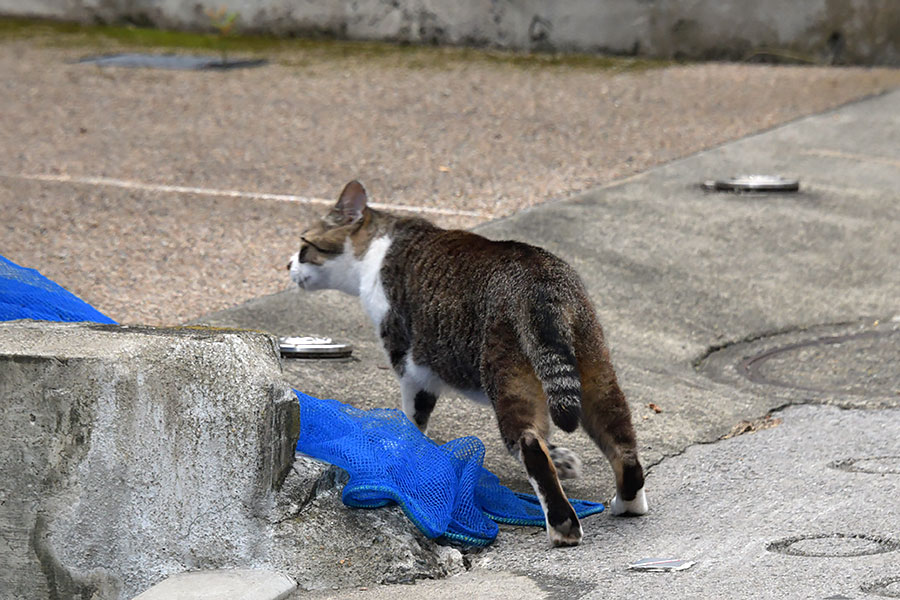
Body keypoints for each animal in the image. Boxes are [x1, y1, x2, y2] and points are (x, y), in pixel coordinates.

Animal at [288, 180, 648, 548]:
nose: (288, 265)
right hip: (593, 368)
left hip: (506, 375)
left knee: (530, 446)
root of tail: (540, 282)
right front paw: (562, 459)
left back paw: (563, 527)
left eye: (304, 245)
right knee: (621, 440)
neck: (379, 246)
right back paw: (628, 503)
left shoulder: (412, 367)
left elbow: (413, 420)